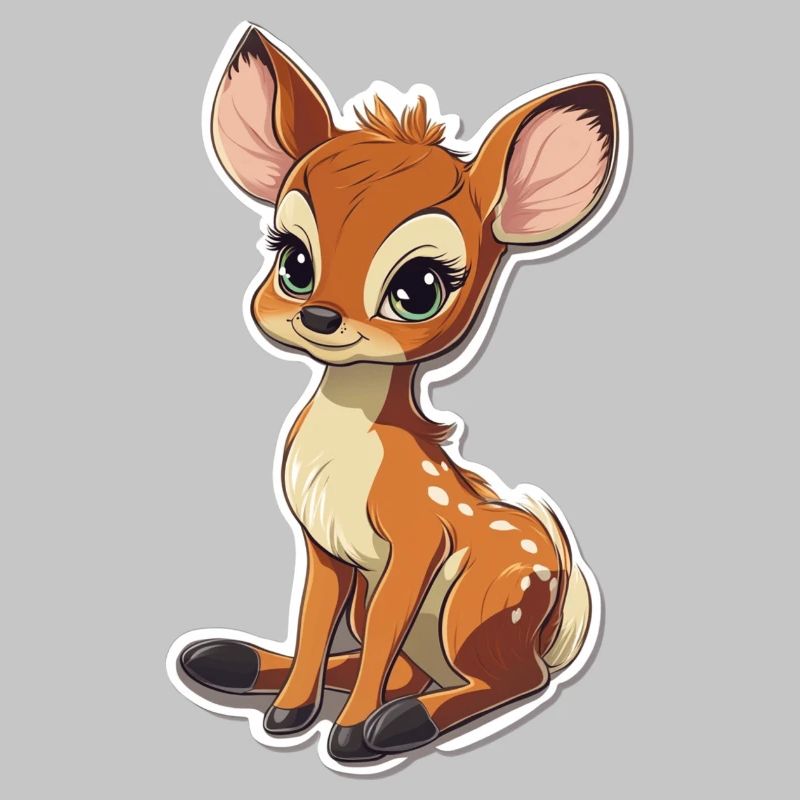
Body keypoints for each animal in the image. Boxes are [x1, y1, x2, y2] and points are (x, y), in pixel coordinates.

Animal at [176, 23, 625, 764]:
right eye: (293, 260)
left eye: (419, 288)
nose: (320, 317)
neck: (349, 449)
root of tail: (556, 618)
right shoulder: (325, 548)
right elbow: (314, 622)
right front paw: (289, 713)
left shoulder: (418, 542)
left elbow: (383, 630)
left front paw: (350, 734)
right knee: (404, 665)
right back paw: (226, 660)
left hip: (478, 601)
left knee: (512, 679)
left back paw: (401, 723)